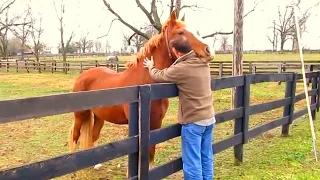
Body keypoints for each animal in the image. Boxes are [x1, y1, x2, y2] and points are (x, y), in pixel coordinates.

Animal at [69, 9, 214, 173]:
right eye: (180, 32)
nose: (208, 51)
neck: (147, 84)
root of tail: (83, 75)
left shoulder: (156, 123)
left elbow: (151, 151)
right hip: (80, 115)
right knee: (75, 135)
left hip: (99, 116)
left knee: (93, 136)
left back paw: (96, 164)